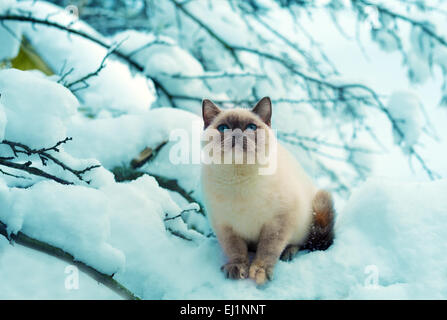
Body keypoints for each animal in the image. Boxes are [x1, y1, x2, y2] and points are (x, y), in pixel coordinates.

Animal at [201, 97, 334, 284]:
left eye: (251, 127)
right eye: (223, 128)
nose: (236, 134)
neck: (238, 178)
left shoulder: (278, 222)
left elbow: (267, 251)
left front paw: (259, 272)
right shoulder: (225, 226)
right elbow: (236, 250)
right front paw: (238, 268)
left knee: (303, 243)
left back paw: (288, 253)